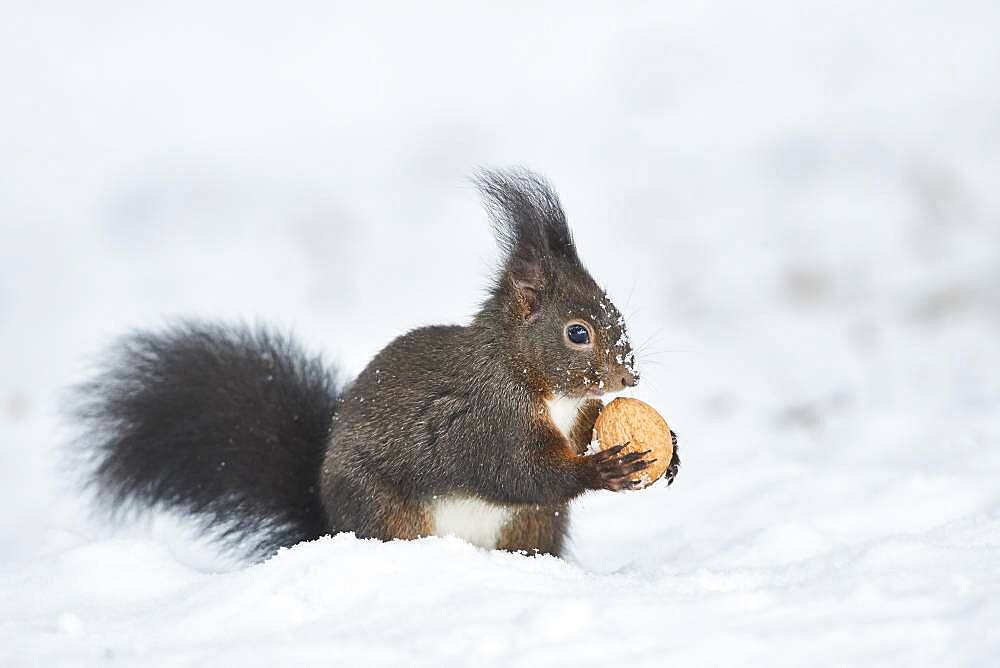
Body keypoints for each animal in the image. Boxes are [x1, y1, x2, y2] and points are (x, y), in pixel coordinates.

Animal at [70, 168, 680, 560]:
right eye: (578, 333)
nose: (629, 376)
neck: (537, 385)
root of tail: (330, 528)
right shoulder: (482, 418)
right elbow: (516, 470)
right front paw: (601, 470)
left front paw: (669, 446)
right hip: (389, 515)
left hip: (533, 527)